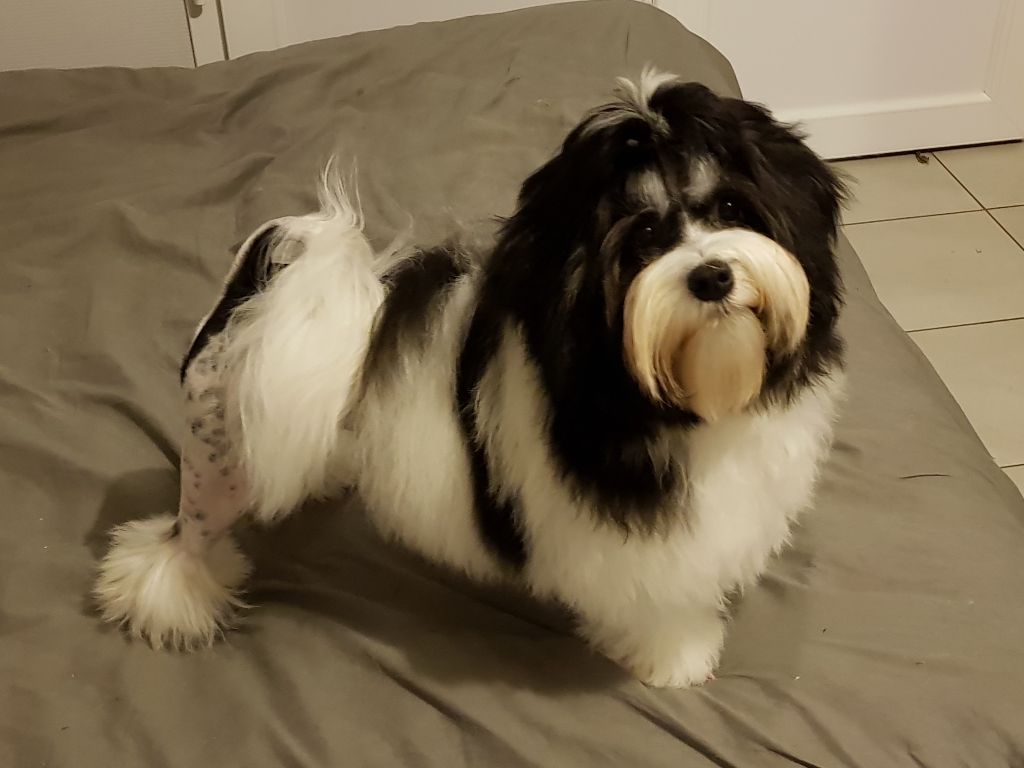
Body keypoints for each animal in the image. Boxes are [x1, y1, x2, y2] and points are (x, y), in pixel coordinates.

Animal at [94, 69, 845, 688]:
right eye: (643, 238)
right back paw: (173, 598)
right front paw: (676, 656)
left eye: (730, 210)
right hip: (215, 455)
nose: (712, 275)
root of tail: (253, 290)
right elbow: (654, 600)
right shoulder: (628, 542)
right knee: (185, 535)